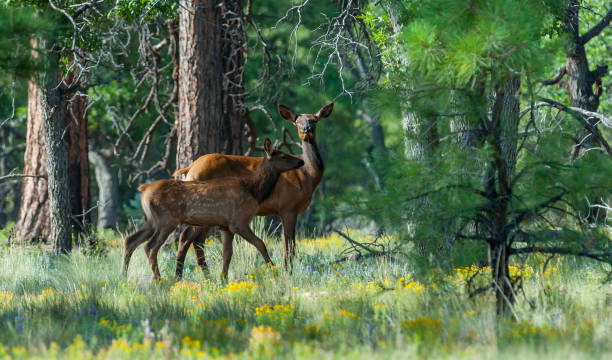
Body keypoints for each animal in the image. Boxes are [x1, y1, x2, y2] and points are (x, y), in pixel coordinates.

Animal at [122, 138, 306, 278]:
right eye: (283, 156)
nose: (301, 161)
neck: (255, 192)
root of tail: (144, 190)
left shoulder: (226, 227)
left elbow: (227, 254)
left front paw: (223, 280)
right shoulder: (238, 221)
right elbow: (260, 244)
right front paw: (274, 270)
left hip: (151, 221)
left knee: (130, 240)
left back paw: (123, 277)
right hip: (166, 220)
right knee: (151, 247)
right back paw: (158, 280)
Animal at [172, 102, 334, 280]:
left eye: (315, 120)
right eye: (297, 122)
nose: (307, 129)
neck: (308, 176)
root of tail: (189, 169)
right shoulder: (288, 207)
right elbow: (289, 247)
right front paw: (287, 274)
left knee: (196, 241)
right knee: (187, 238)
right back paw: (183, 277)